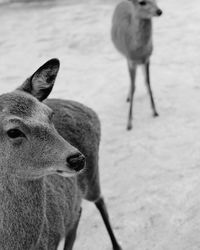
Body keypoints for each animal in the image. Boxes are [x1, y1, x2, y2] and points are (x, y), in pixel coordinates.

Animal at [0, 58, 122, 250]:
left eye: (50, 115)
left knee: (100, 200)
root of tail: (89, 109)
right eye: (13, 131)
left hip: (93, 176)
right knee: (77, 211)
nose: (77, 159)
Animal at [111, 0, 162, 130]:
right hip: (126, 58)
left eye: (156, 0)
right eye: (142, 2)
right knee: (131, 81)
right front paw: (129, 123)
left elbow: (148, 83)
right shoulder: (131, 60)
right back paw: (128, 97)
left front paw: (155, 112)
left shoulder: (147, 59)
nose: (159, 11)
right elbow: (134, 86)